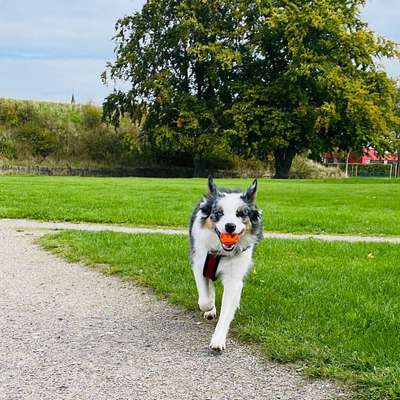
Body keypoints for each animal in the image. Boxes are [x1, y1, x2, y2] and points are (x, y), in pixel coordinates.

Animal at [190, 177, 262, 350]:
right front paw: (210, 307)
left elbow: (227, 308)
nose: (230, 226)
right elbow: (205, 299)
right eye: (218, 213)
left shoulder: (234, 278)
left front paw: (218, 339)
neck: (221, 252)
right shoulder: (199, 265)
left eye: (241, 214)